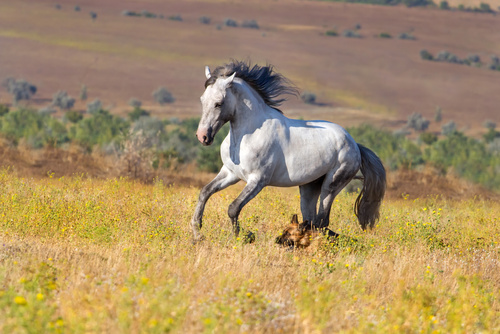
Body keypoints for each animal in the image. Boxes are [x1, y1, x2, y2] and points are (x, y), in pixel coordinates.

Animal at [191, 60, 386, 241]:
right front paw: (197, 233)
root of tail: (355, 145)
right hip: (309, 187)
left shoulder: (258, 180)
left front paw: (241, 237)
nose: (203, 136)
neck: (245, 137)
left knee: (321, 221)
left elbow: (233, 208)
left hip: (331, 185)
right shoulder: (231, 173)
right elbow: (204, 193)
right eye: (201, 100)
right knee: (311, 221)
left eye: (219, 103)